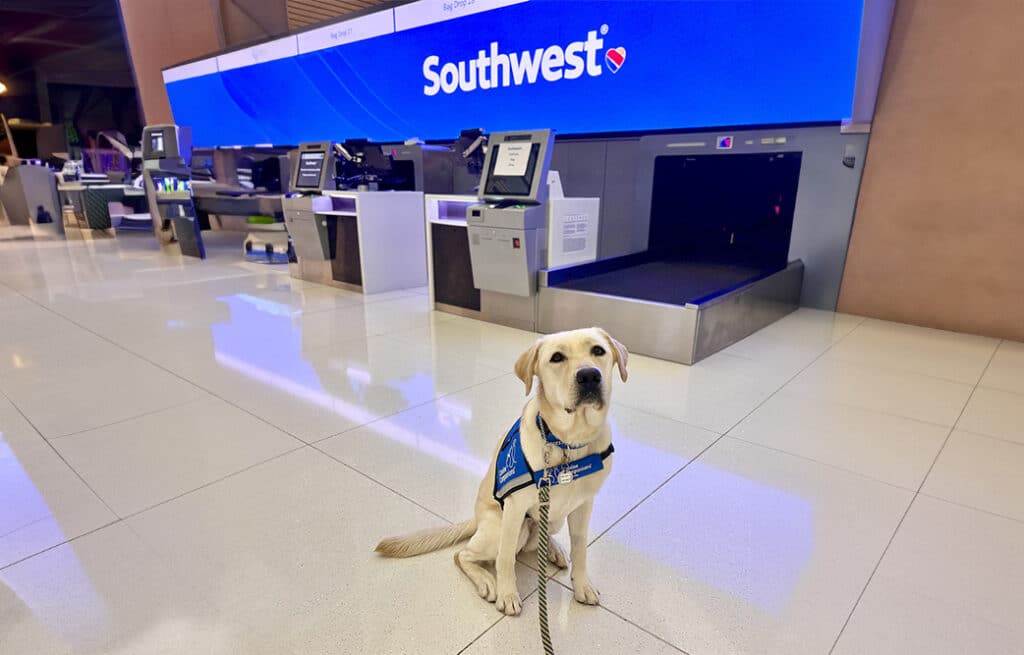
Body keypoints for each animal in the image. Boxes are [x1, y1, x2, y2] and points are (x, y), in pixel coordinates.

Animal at [378, 329, 622, 618]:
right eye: (557, 357)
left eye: (598, 351)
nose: (589, 375)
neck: (568, 443)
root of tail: (476, 518)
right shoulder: (514, 510)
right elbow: (504, 559)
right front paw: (507, 594)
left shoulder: (583, 506)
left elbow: (581, 548)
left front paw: (582, 585)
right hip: (502, 529)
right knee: (463, 555)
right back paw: (486, 580)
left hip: (553, 520)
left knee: (543, 538)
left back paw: (555, 550)